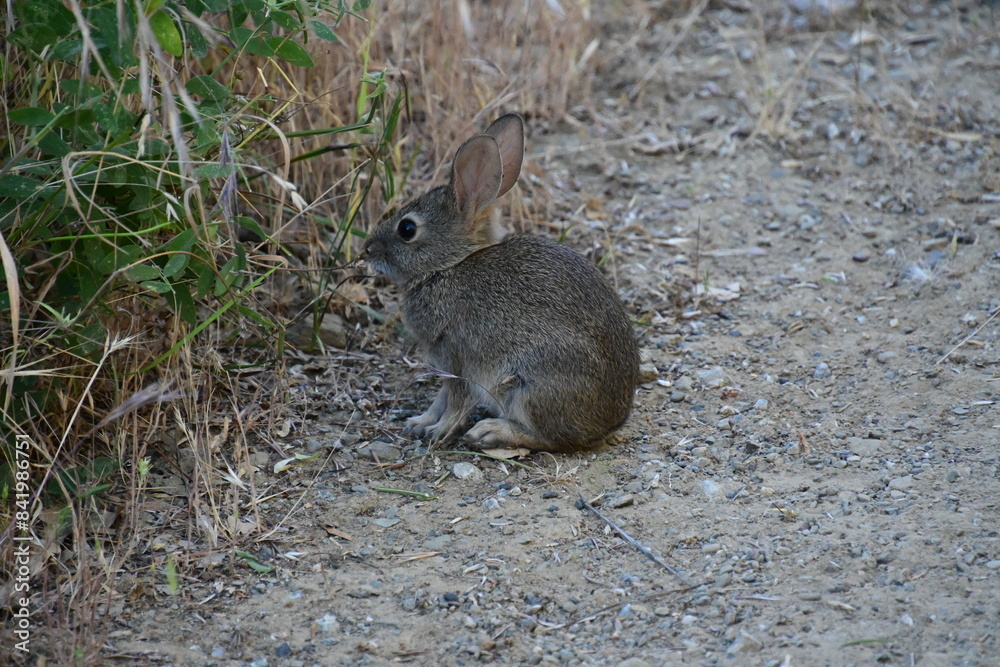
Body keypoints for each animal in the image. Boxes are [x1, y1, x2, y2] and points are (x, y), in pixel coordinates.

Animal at [362, 113, 639, 453]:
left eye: (407, 229)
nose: (367, 249)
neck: (448, 266)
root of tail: (610, 423)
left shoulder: (457, 358)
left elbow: (454, 400)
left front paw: (438, 431)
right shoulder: (446, 362)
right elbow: (440, 398)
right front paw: (419, 423)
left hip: (529, 385)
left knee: (550, 438)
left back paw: (490, 432)